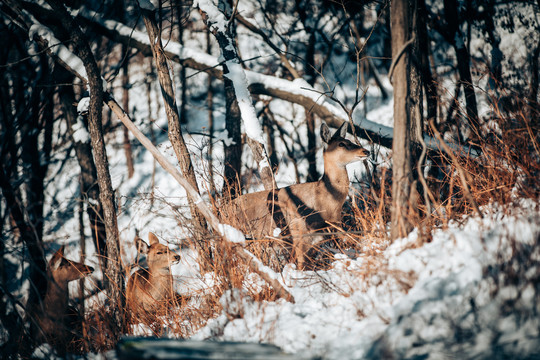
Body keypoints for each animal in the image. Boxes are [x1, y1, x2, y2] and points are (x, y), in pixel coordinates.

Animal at [221, 121, 370, 270]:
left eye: (349, 140)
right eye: (341, 144)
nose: (366, 151)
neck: (325, 203)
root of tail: (222, 209)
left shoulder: (319, 238)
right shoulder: (299, 234)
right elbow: (301, 266)